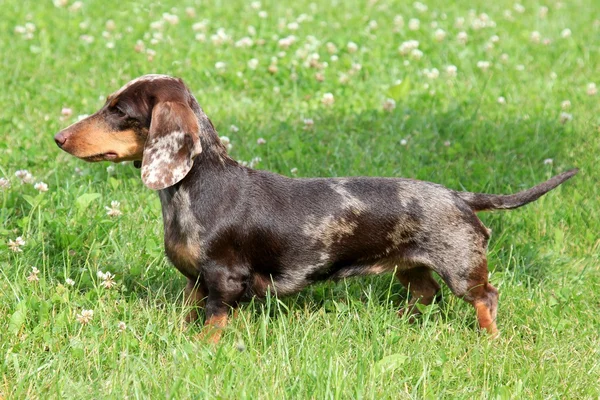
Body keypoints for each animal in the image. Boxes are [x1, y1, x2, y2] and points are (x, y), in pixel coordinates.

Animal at [55, 76, 576, 344]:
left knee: (486, 297)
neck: (197, 187)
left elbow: (215, 320)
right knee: (424, 294)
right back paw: (403, 323)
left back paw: (488, 339)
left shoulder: (224, 279)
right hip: (412, 267)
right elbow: (189, 311)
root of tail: (459, 196)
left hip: (461, 267)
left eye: (119, 111)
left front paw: (204, 349)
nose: (58, 138)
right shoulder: (195, 280)